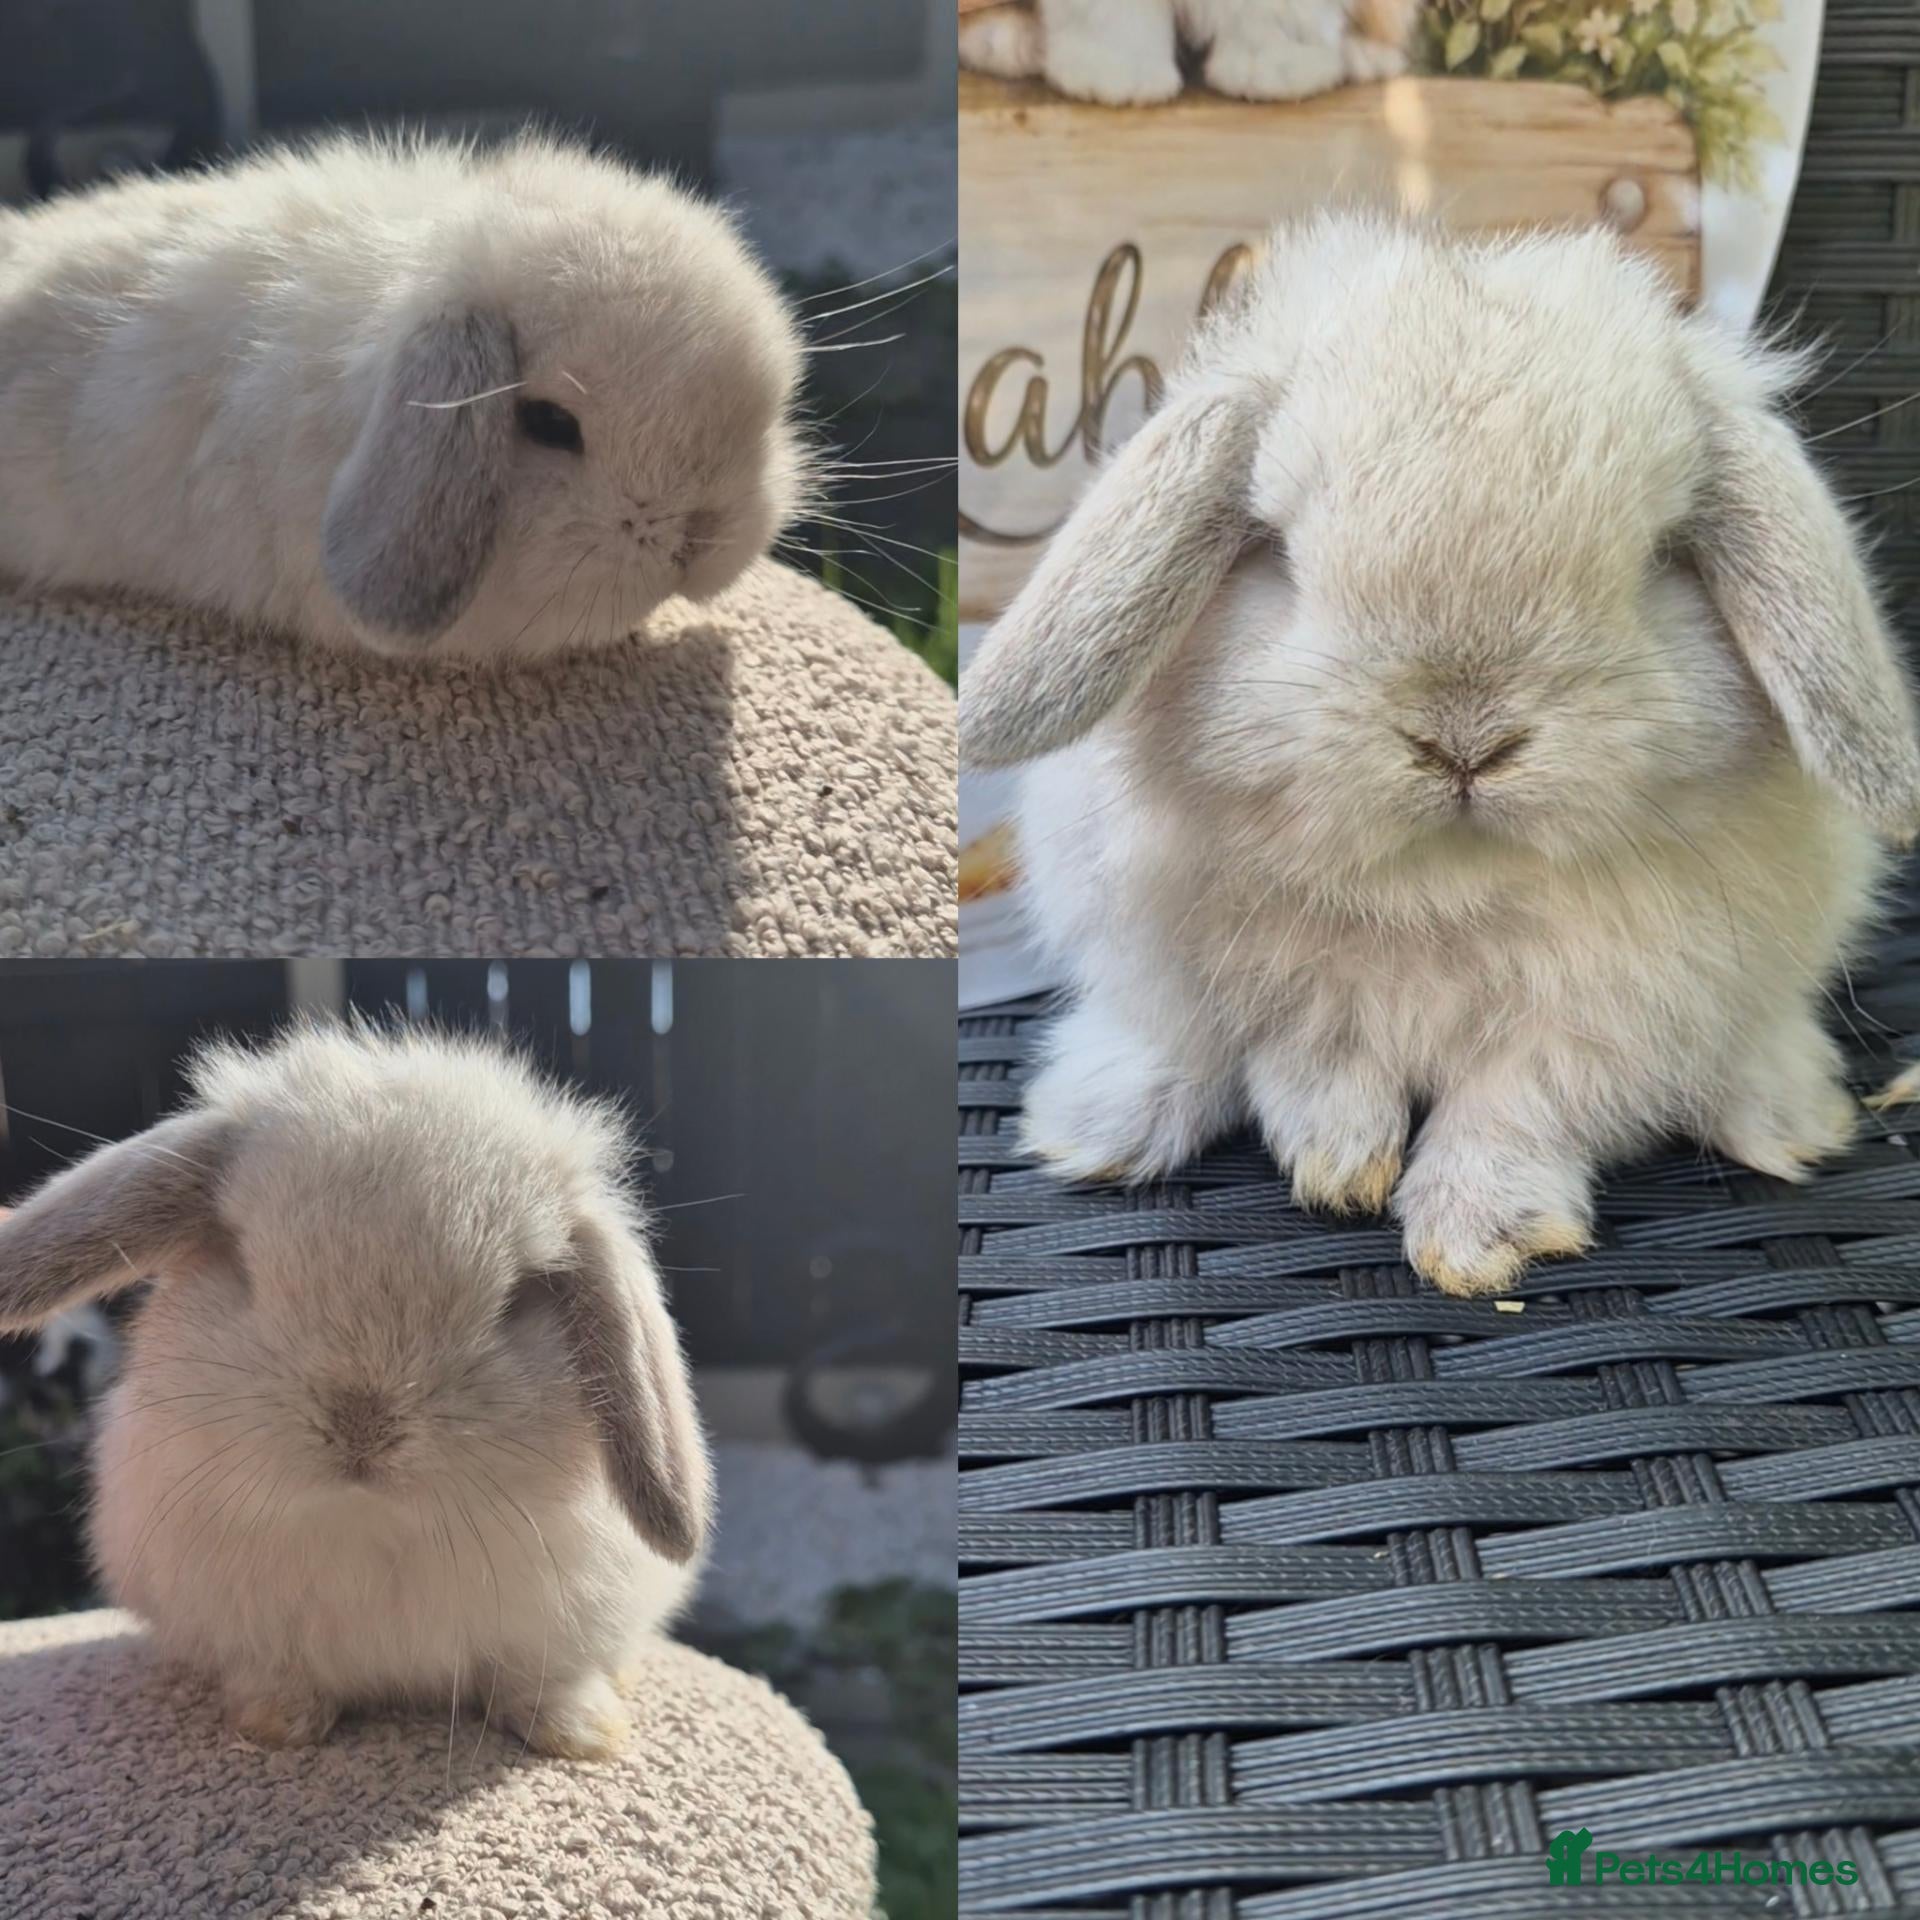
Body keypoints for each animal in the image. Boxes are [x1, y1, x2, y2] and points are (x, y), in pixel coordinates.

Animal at [0, 1021, 712, 1756]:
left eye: (517, 1300)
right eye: (245, 1265)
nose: (361, 1426)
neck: (367, 1521)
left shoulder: (558, 1629)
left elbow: (542, 1681)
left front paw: (583, 1735)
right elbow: (277, 1676)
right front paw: (277, 1726)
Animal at [961, 212, 1920, 1298]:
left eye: (1661, 559)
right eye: (1277, 553)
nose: (1465, 740)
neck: (1439, 887)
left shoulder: (1606, 1030)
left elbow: (1515, 1107)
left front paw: (1473, 1239)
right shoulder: (1260, 994)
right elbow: (1310, 1064)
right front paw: (1341, 1163)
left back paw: (1786, 1120)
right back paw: (1096, 1128)